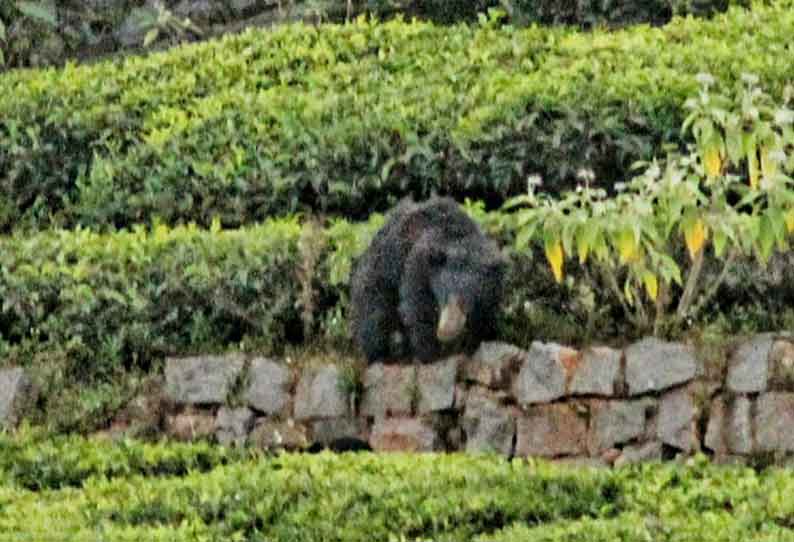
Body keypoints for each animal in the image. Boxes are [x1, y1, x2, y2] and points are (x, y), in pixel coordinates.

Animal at [350, 197, 504, 366]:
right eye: (445, 294)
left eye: (469, 300)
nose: (446, 331)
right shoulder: (418, 269)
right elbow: (418, 312)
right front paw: (430, 355)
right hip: (378, 280)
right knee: (374, 320)